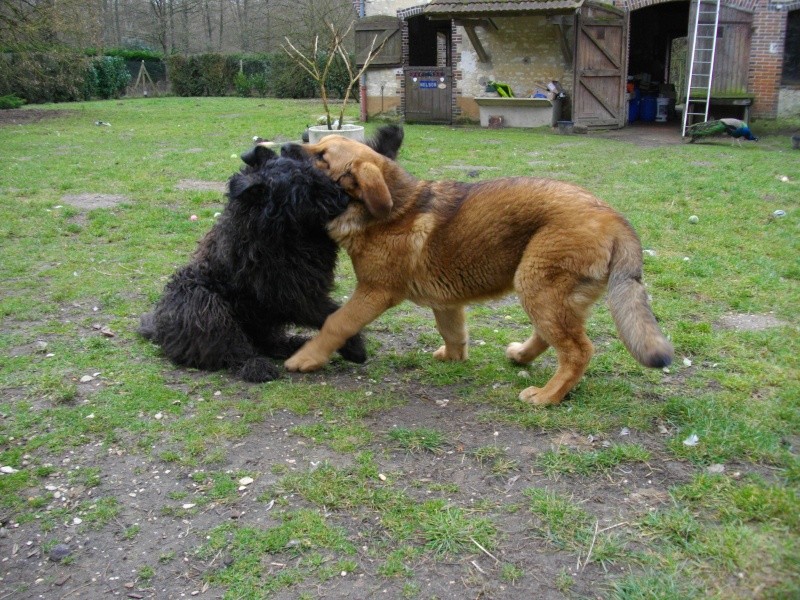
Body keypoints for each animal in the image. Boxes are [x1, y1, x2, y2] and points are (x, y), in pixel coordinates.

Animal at [140, 126, 404, 382]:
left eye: (315, 175)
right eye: (303, 192)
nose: (342, 197)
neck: (283, 229)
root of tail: (160, 331)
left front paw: (390, 137)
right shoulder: (291, 292)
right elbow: (328, 312)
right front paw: (354, 347)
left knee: (265, 342)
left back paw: (292, 345)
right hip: (203, 302)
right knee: (233, 349)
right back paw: (257, 367)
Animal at [284, 135, 672, 406]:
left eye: (322, 157)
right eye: (314, 143)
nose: (285, 146)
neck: (388, 208)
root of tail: (614, 218)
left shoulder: (374, 291)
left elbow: (337, 323)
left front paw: (307, 358)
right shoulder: (445, 300)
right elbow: (452, 331)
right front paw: (453, 358)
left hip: (536, 282)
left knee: (578, 350)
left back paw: (548, 396)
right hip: (555, 292)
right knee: (554, 335)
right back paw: (522, 357)